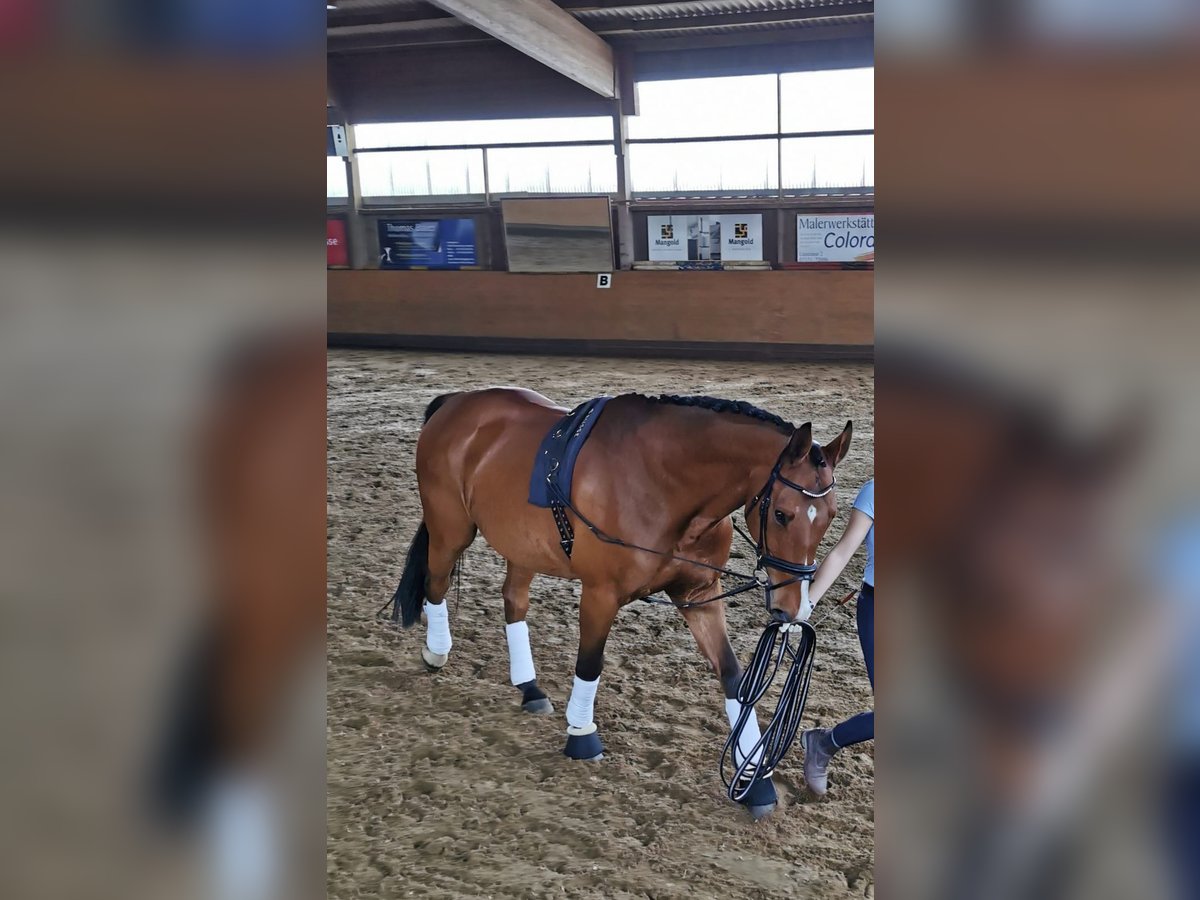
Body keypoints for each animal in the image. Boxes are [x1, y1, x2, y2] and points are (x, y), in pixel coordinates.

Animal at [390, 388, 853, 819]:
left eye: (831, 515)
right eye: (782, 514)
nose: (794, 606)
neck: (665, 485)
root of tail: (456, 403)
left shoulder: (699, 596)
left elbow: (735, 678)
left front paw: (753, 780)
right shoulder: (601, 594)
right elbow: (590, 663)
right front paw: (581, 736)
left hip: (522, 545)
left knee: (513, 601)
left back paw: (529, 687)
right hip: (450, 529)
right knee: (436, 583)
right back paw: (436, 652)